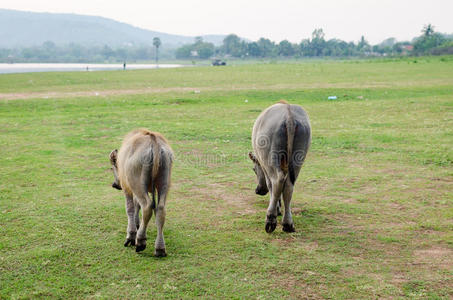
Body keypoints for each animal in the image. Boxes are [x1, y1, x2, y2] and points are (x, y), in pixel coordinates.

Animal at [109, 127, 173, 256]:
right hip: (163, 183)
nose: (114, 184)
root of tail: (153, 139)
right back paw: (160, 248)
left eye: (113, 167)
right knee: (160, 209)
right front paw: (138, 224)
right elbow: (136, 206)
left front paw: (131, 235)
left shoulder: (127, 189)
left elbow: (130, 208)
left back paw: (140, 241)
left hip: (137, 185)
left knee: (147, 207)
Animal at [247, 101, 310, 232]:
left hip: (270, 159)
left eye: (254, 169)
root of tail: (289, 115)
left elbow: (271, 186)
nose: (258, 190)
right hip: (298, 159)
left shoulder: (265, 168)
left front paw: (277, 208)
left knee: (277, 181)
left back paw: (270, 220)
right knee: (289, 185)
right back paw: (288, 223)